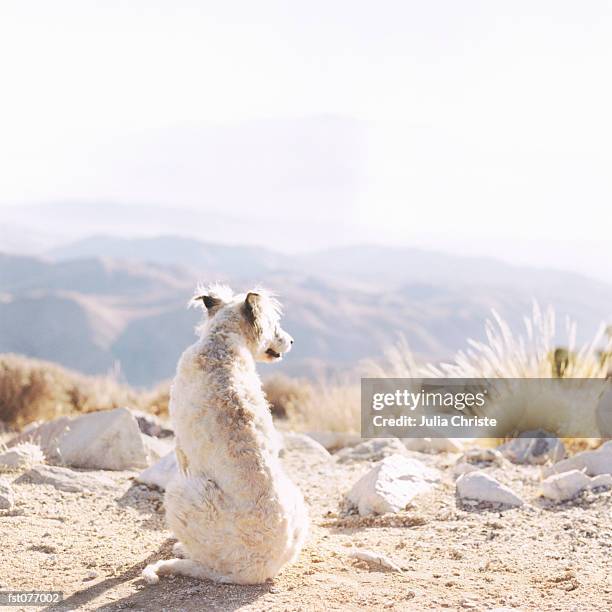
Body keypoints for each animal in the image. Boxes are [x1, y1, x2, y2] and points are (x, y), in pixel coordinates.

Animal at [142, 284, 308, 584]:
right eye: (273, 324)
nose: (291, 341)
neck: (222, 342)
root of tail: (256, 572)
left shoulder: (181, 446)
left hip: (180, 493)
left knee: (202, 558)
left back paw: (181, 549)